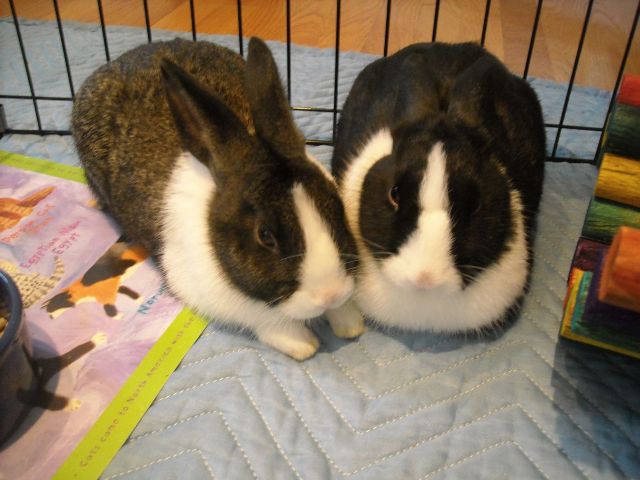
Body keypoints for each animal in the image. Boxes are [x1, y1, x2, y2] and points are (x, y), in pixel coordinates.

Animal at [71, 37, 364, 360]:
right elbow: (269, 320)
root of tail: (121, 58)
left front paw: (349, 322)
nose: (329, 294)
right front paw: (302, 344)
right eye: (265, 236)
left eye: (336, 205)